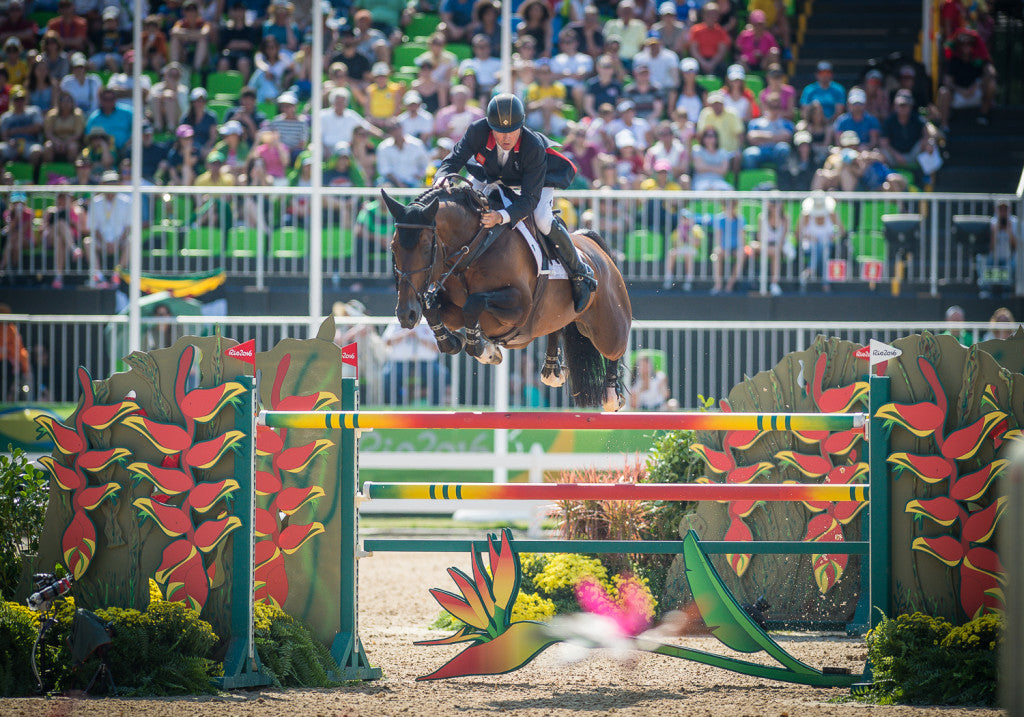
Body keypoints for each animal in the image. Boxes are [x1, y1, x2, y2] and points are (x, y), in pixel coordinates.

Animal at [378, 180, 626, 409]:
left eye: (426, 248)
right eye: (393, 247)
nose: (406, 315)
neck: (475, 248)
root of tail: (596, 247)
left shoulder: (520, 308)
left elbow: (474, 303)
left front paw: (482, 349)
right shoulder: (453, 310)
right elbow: (434, 309)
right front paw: (456, 342)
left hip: (607, 327)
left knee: (616, 350)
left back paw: (611, 395)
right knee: (556, 328)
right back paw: (552, 370)